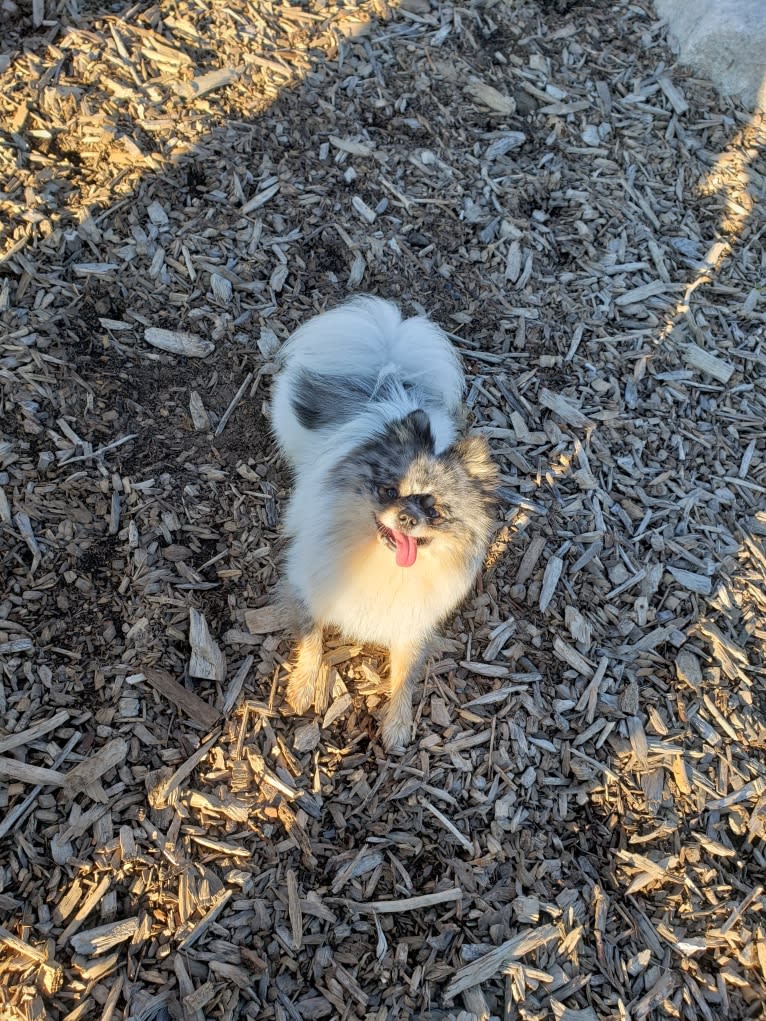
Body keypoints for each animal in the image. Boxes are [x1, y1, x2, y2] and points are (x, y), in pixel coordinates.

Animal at [269, 296, 498, 751]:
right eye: (390, 491)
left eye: (434, 509)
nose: (408, 516)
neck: (378, 564)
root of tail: (385, 383)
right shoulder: (308, 585)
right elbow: (312, 637)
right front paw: (304, 686)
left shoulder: (411, 623)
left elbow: (405, 676)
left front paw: (396, 724)